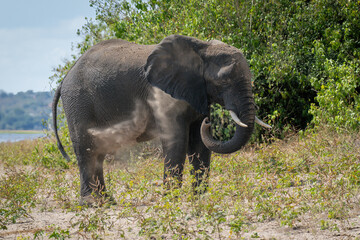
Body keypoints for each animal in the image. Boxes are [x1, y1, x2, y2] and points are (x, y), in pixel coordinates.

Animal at [51, 34, 270, 205]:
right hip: (78, 102)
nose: (208, 122)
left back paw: (107, 201)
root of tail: (65, 77)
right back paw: (93, 204)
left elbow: (200, 145)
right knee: (87, 149)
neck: (201, 47)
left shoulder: (197, 91)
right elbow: (177, 141)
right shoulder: (163, 94)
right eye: (224, 81)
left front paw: (199, 200)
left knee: (98, 152)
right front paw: (170, 202)